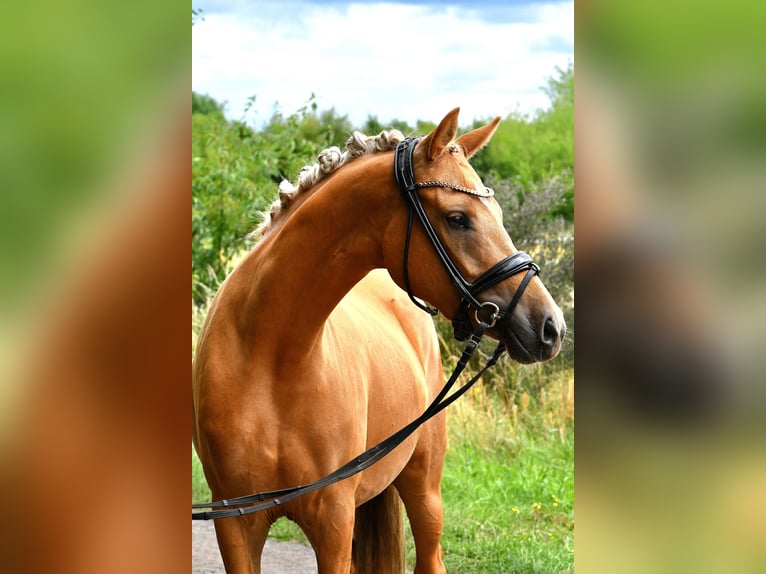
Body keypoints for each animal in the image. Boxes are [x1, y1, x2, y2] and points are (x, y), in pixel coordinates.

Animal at [192, 108, 566, 574]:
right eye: (457, 218)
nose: (551, 326)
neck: (271, 358)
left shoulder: (333, 519)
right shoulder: (236, 524)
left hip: (423, 487)